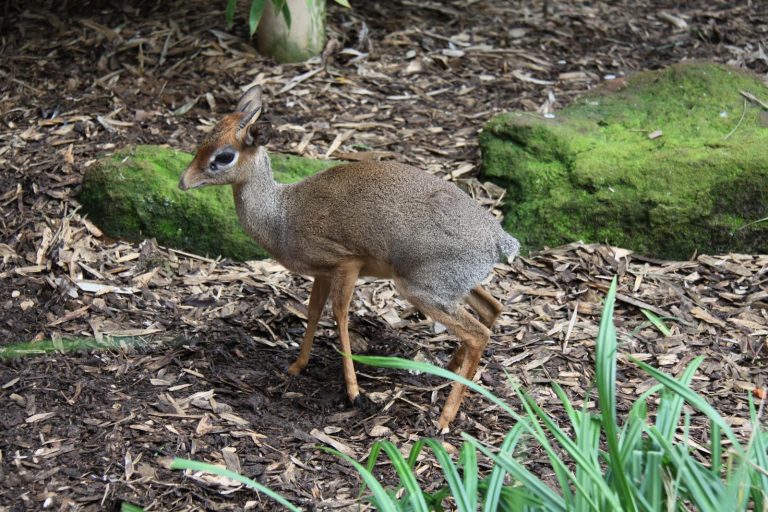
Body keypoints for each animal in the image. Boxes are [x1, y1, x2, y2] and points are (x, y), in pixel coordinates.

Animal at [177, 86, 520, 430]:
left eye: (224, 156)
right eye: (202, 142)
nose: (183, 182)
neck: (281, 217)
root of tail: (499, 240)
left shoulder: (347, 263)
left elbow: (339, 315)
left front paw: (354, 392)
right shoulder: (322, 271)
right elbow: (313, 311)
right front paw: (297, 365)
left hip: (422, 289)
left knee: (478, 334)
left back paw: (444, 418)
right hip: (451, 285)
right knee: (492, 308)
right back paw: (447, 370)